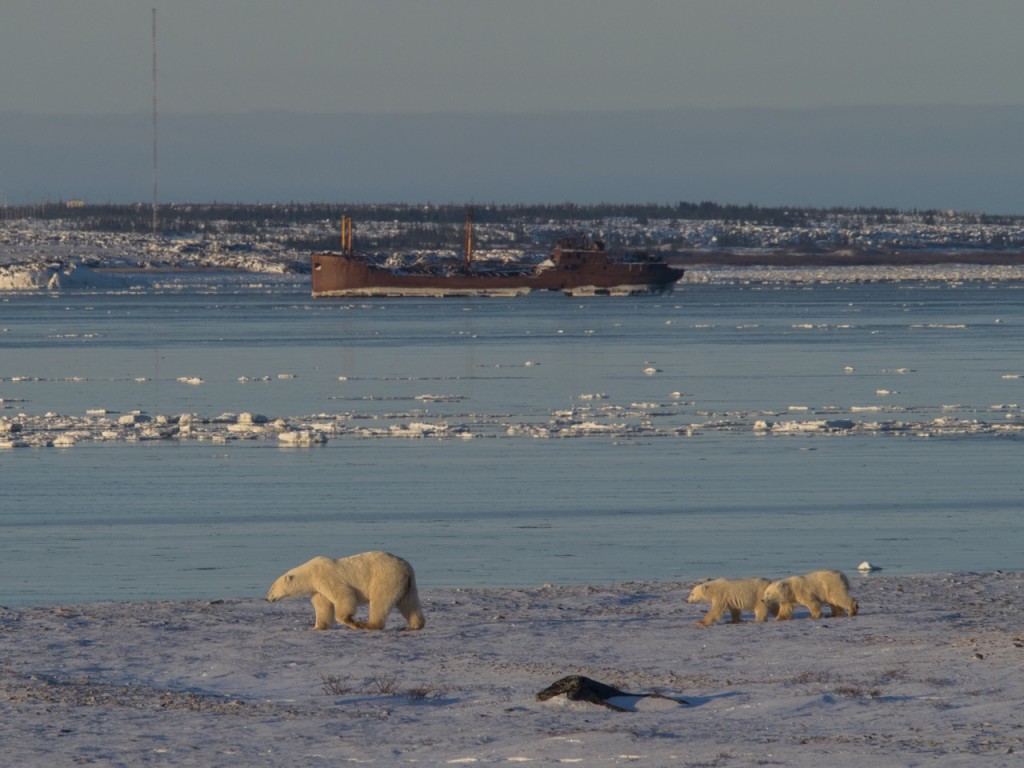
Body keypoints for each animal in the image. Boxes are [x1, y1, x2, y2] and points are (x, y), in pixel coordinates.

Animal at [266, 551, 425, 631]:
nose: (267, 598)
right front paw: (317, 626)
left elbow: (343, 594)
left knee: (380, 601)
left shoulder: (325, 577)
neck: (311, 572)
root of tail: (405, 568)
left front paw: (350, 621)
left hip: (385, 578)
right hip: (407, 584)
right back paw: (417, 624)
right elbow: (322, 606)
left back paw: (369, 625)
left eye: (271, 588)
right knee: (409, 603)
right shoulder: (318, 589)